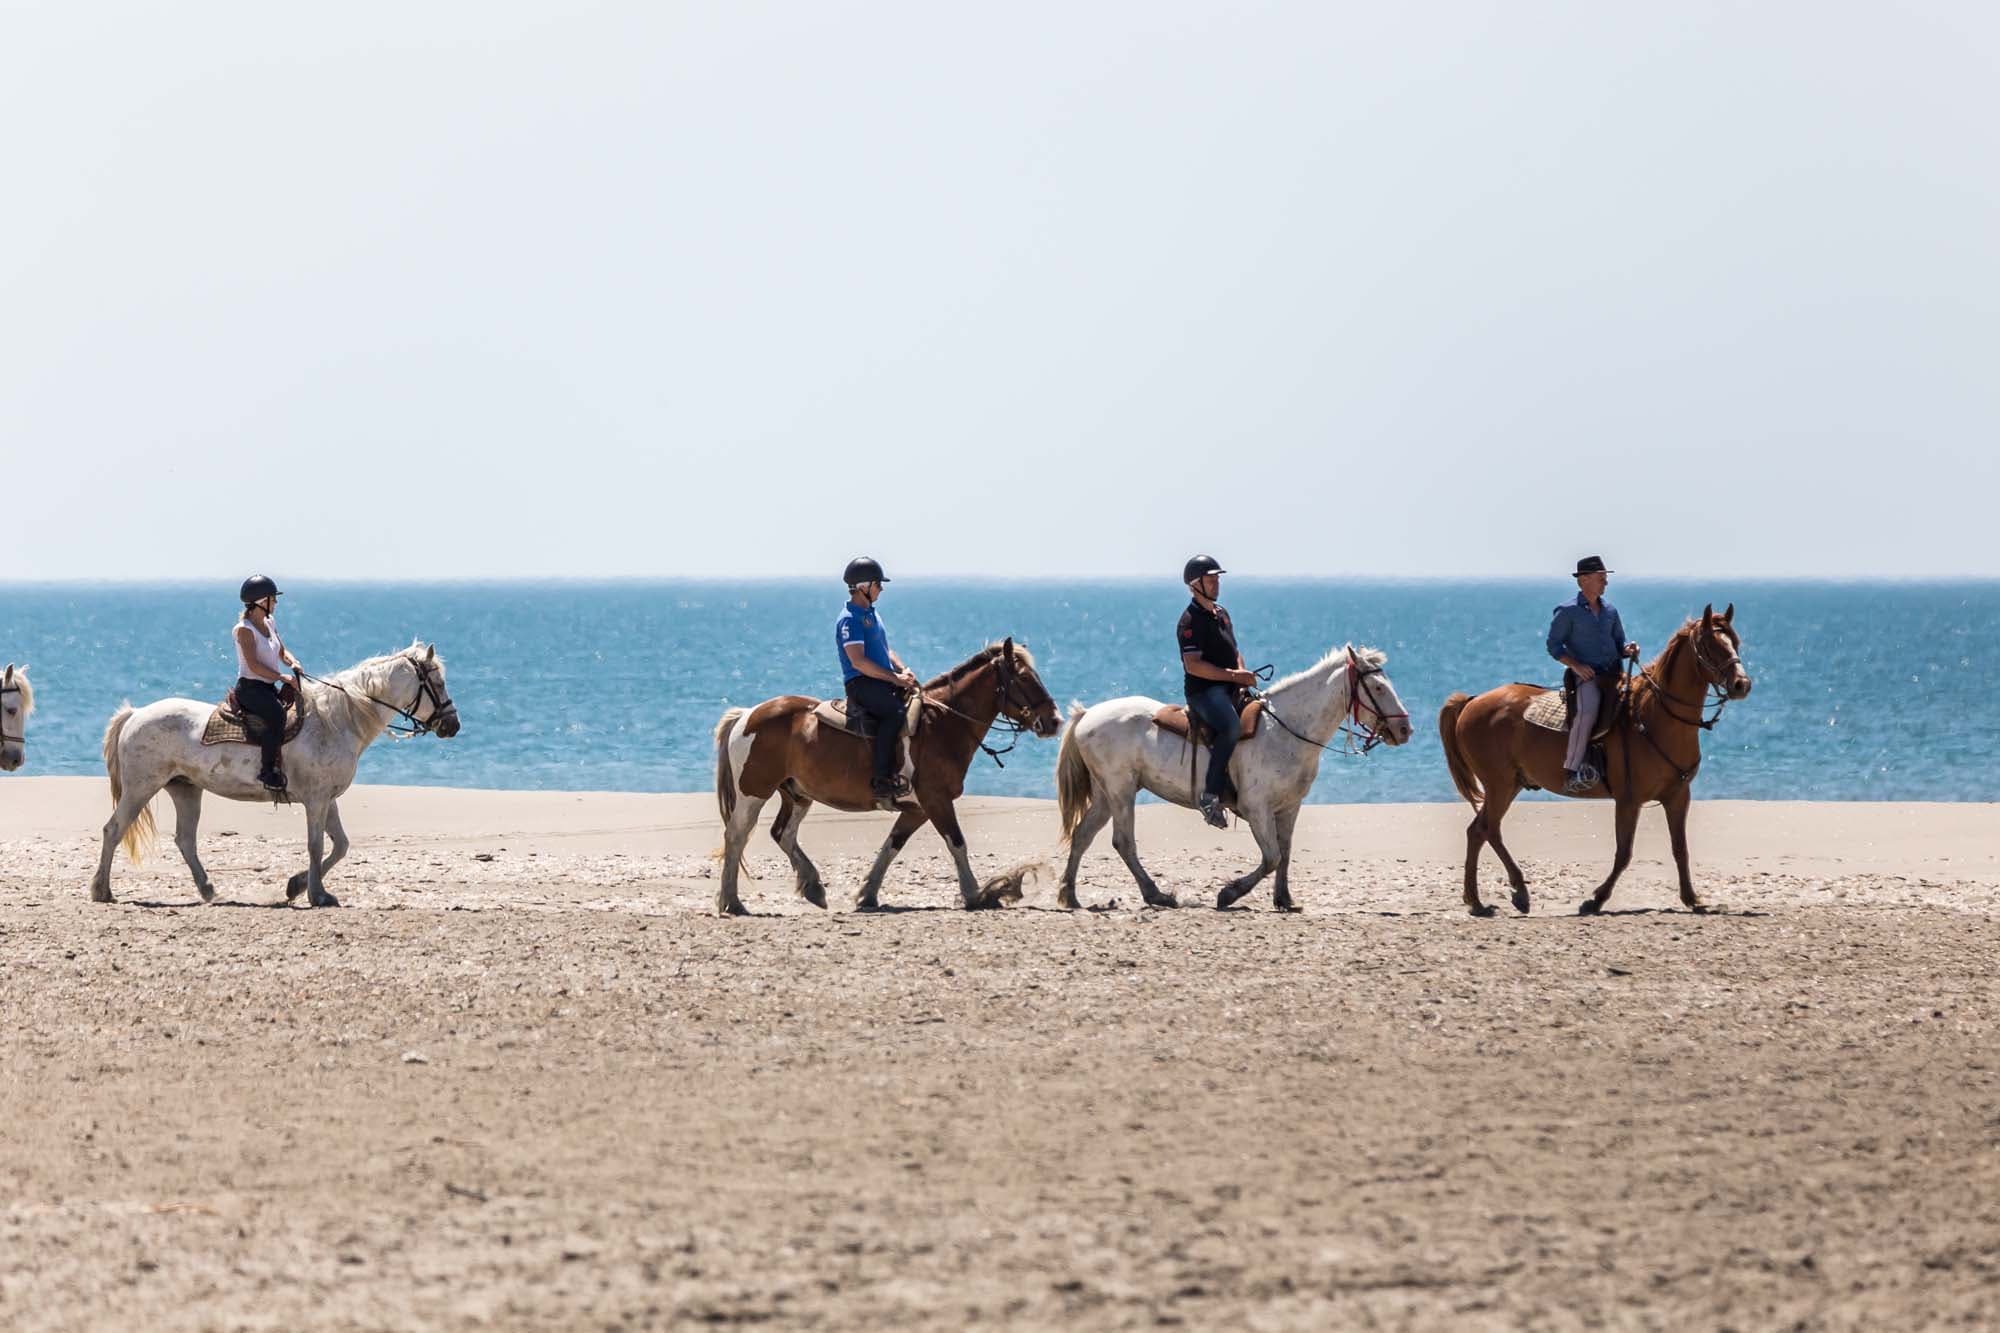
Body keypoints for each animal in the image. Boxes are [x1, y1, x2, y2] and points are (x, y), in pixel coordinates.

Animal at [90, 642, 461, 908]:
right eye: (438, 682)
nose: (452, 725)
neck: (336, 721)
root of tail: (136, 713)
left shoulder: (328, 799)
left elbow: (340, 845)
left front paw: (297, 886)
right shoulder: (315, 799)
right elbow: (316, 845)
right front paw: (316, 894)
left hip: (185, 790)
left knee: (185, 840)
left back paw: (209, 890)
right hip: (141, 787)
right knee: (113, 829)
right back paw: (101, 890)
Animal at [712, 639, 1061, 915]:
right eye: (1025, 678)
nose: (1054, 721)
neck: (942, 726)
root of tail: (747, 715)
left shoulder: (917, 808)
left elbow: (892, 846)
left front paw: (867, 893)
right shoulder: (936, 801)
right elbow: (957, 843)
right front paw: (975, 894)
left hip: (797, 793)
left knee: (782, 833)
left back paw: (812, 886)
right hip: (754, 792)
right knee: (736, 836)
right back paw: (732, 901)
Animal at [1054, 645, 1413, 911]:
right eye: (1378, 687)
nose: (1405, 729)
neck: (1285, 730)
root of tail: (1087, 714)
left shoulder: (1289, 807)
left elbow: (1285, 852)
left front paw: (1285, 899)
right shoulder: (1257, 808)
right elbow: (1272, 857)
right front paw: (1228, 894)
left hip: (1106, 794)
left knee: (1083, 835)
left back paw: (1070, 895)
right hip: (1121, 790)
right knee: (1123, 841)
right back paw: (1157, 894)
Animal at [1438, 604, 1752, 917]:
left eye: (1735, 642)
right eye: (1710, 646)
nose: (1742, 684)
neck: (1655, 717)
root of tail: (1473, 701)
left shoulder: (1678, 796)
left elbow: (1680, 849)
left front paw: (1693, 899)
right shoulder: (1628, 800)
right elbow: (1624, 853)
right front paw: (1596, 899)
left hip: (1509, 784)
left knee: (1477, 831)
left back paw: (1478, 900)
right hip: (1499, 785)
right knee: (1488, 829)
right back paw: (1512, 893)